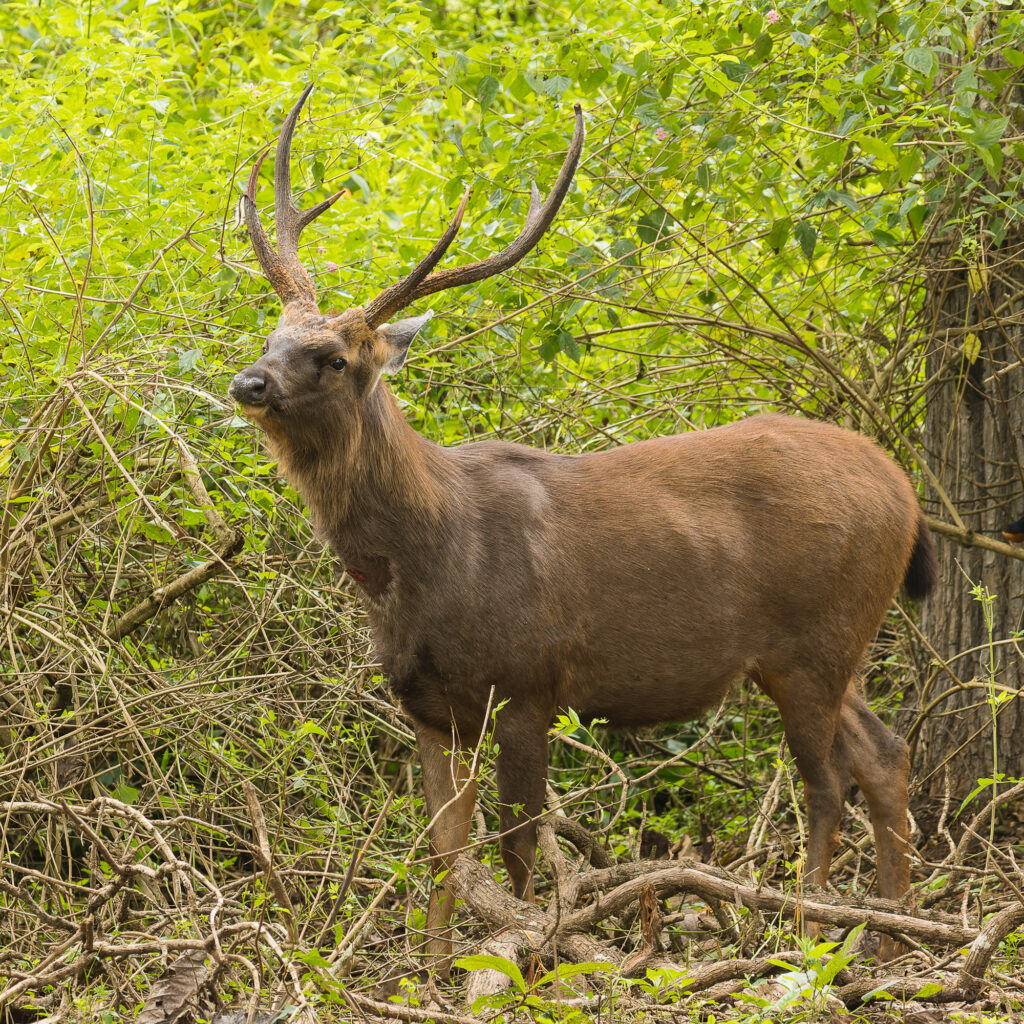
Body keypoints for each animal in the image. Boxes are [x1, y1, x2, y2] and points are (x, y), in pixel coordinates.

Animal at [230, 86, 936, 966]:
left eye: (333, 358)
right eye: (272, 336)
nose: (247, 382)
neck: (425, 558)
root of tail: (904, 488)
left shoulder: (528, 684)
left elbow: (516, 849)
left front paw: (531, 958)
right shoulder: (429, 706)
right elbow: (443, 851)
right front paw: (427, 972)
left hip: (814, 636)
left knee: (826, 779)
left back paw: (810, 938)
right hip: (834, 645)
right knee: (884, 753)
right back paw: (892, 935)